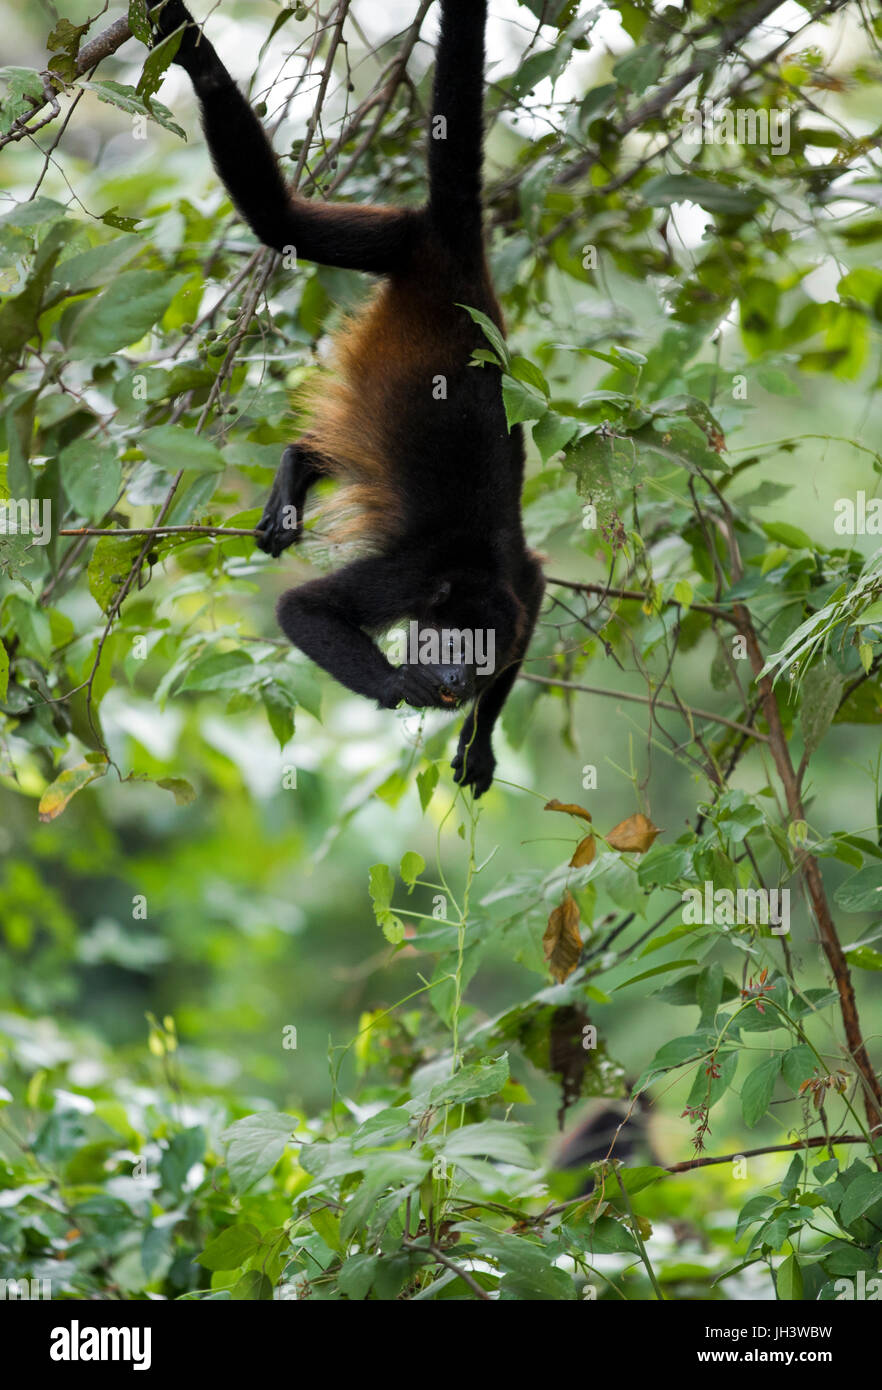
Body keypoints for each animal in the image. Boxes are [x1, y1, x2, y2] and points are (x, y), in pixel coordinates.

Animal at [150, 0, 545, 797]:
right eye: (455, 644)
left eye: (484, 655)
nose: (458, 679)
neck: (471, 574)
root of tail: (463, 254)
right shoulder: (409, 577)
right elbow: (302, 608)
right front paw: (399, 684)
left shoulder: (522, 586)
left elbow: (539, 597)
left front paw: (479, 740)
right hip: (402, 237)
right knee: (280, 222)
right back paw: (197, 54)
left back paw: (299, 468)